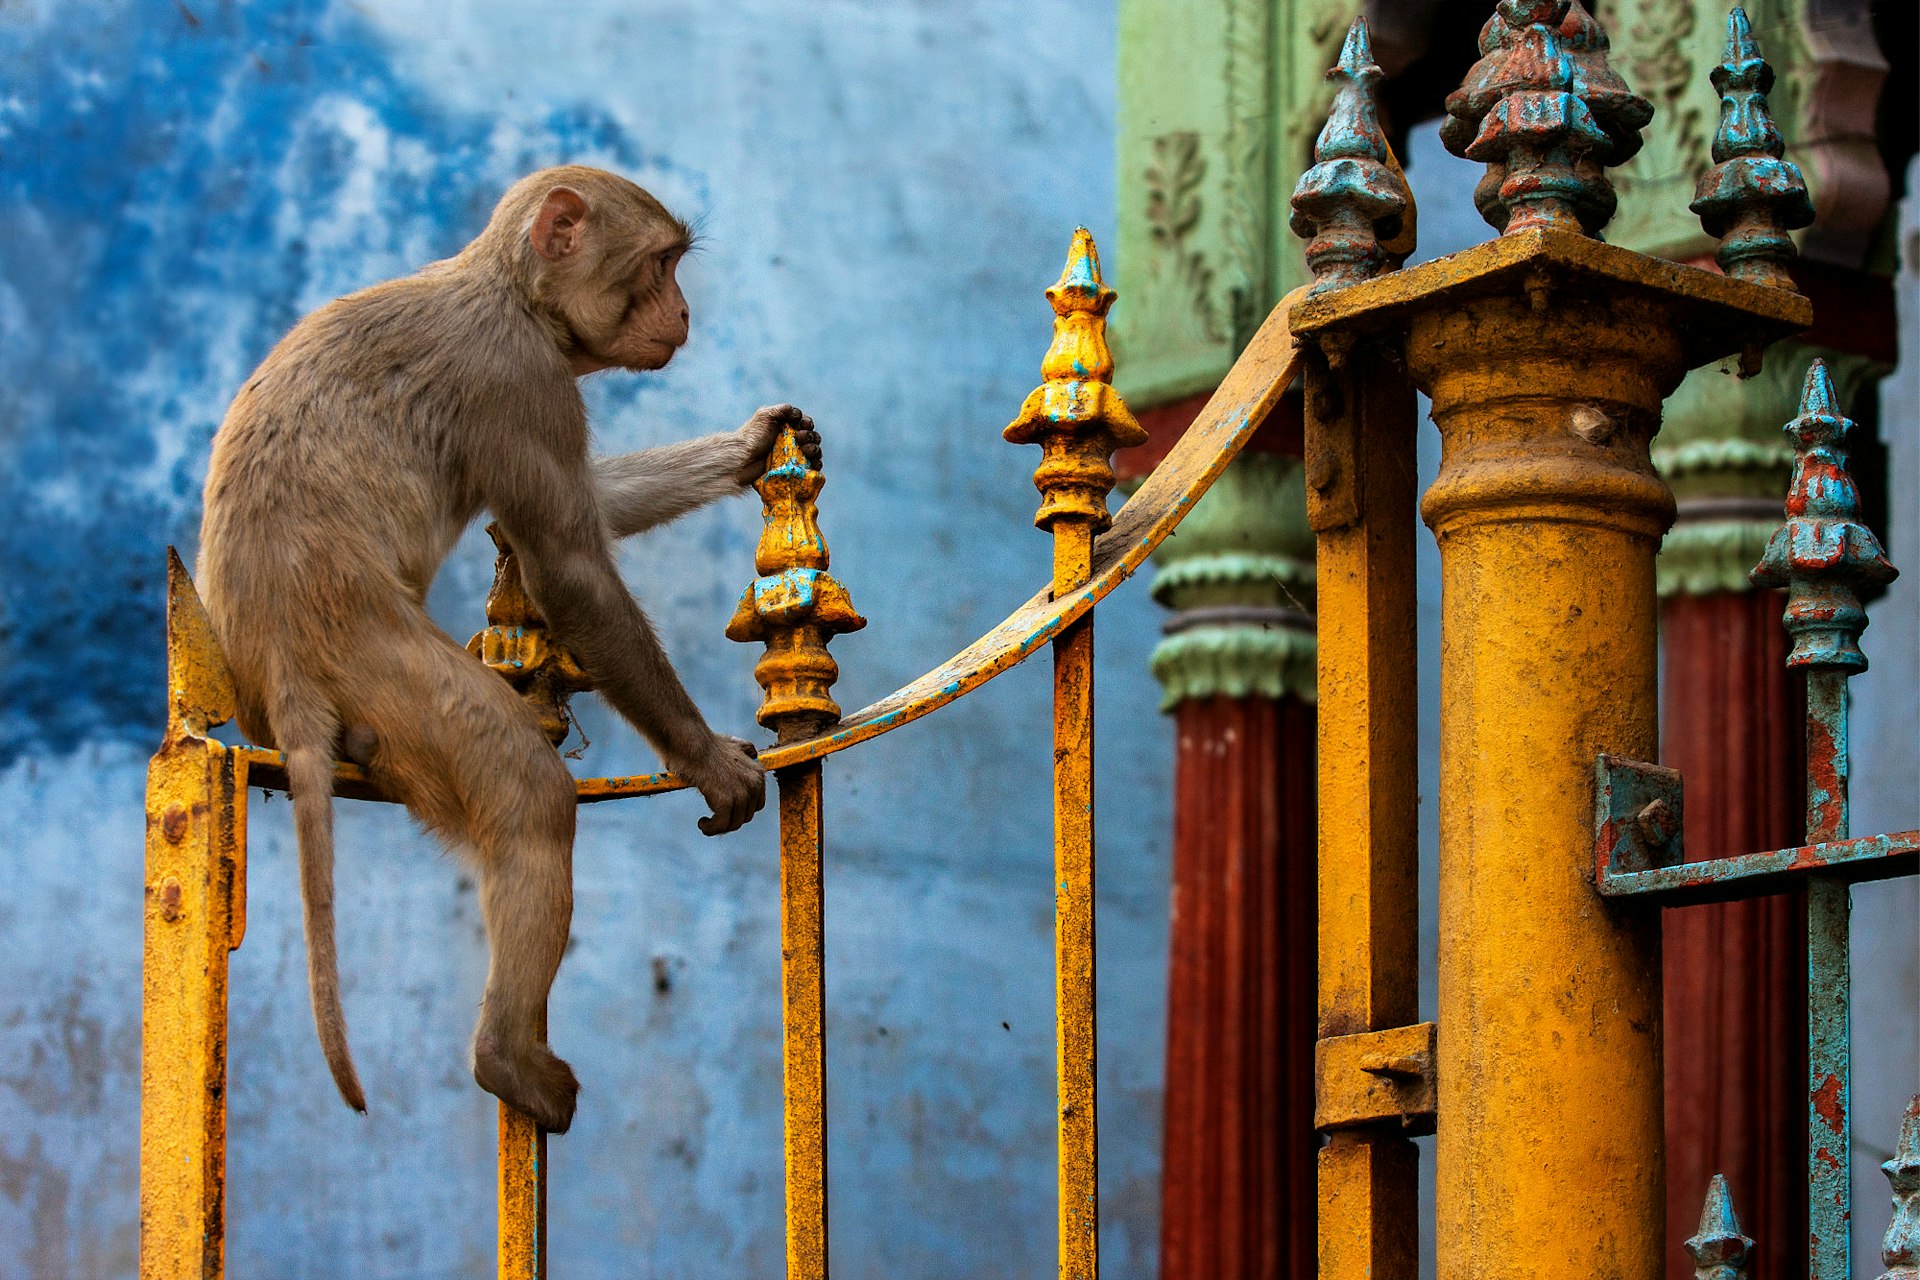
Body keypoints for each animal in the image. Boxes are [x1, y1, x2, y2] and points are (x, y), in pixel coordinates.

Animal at [196, 163, 817, 1128]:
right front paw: (709, 760)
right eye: (663, 264)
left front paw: (749, 446)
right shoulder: (520, 378)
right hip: (385, 668)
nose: (683, 313)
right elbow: (567, 568)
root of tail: (284, 674)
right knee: (529, 796)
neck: (511, 293)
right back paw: (507, 1058)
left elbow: (586, 511)